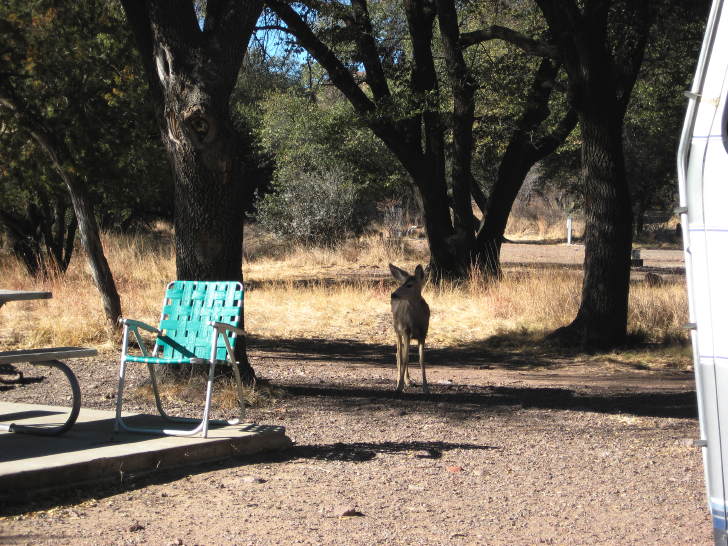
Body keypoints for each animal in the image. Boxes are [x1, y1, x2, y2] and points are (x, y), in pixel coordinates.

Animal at [390, 262, 430, 392]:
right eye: (402, 283)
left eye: (409, 285)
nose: (393, 294)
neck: (416, 321)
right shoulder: (405, 330)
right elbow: (405, 358)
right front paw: (399, 386)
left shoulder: (423, 333)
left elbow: (422, 360)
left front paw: (426, 388)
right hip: (397, 329)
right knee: (399, 354)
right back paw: (400, 381)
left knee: (401, 354)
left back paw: (408, 381)